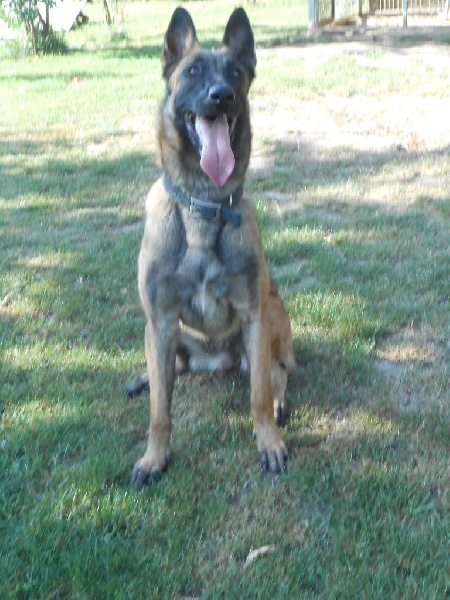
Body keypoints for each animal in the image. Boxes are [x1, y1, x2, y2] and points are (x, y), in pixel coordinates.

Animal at [129, 7, 295, 486]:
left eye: (236, 73)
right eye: (192, 72)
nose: (221, 96)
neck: (204, 203)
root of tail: (213, 361)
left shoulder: (254, 314)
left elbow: (258, 394)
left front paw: (269, 442)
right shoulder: (161, 319)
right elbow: (160, 412)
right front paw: (154, 457)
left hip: (272, 311)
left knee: (277, 372)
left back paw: (279, 400)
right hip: (157, 333)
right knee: (171, 369)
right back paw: (146, 377)